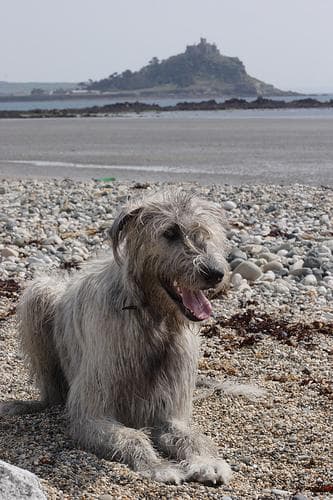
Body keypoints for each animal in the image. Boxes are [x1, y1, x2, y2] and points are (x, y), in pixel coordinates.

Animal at [0, 190, 233, 484]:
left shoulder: (169, 412)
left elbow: (191, 436)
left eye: (205, 233)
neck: (151, 319)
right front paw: (157, 465)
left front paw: (207, 461)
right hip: (40, 293)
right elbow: (131, 435)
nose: (216, 273)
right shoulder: (92, 412)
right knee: (51, 396)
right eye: (170, 232)